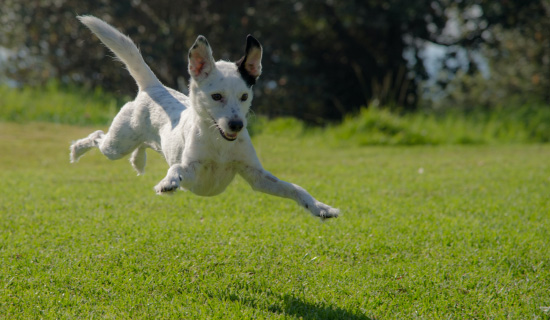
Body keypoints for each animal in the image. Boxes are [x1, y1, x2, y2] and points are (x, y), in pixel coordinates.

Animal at [69, 15, 340, 220]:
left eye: (244, 96)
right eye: (216, 96)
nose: (237, 125)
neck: (220, 145)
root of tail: (153, 87)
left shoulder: (257, 176)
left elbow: (295, 188)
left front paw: (320, 207)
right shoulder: (193, 171)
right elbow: (177, 168)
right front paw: (168, 182)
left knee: (141, 145)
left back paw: (138, 160)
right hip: (117, 144)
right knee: (98, 136)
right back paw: (77, 150)